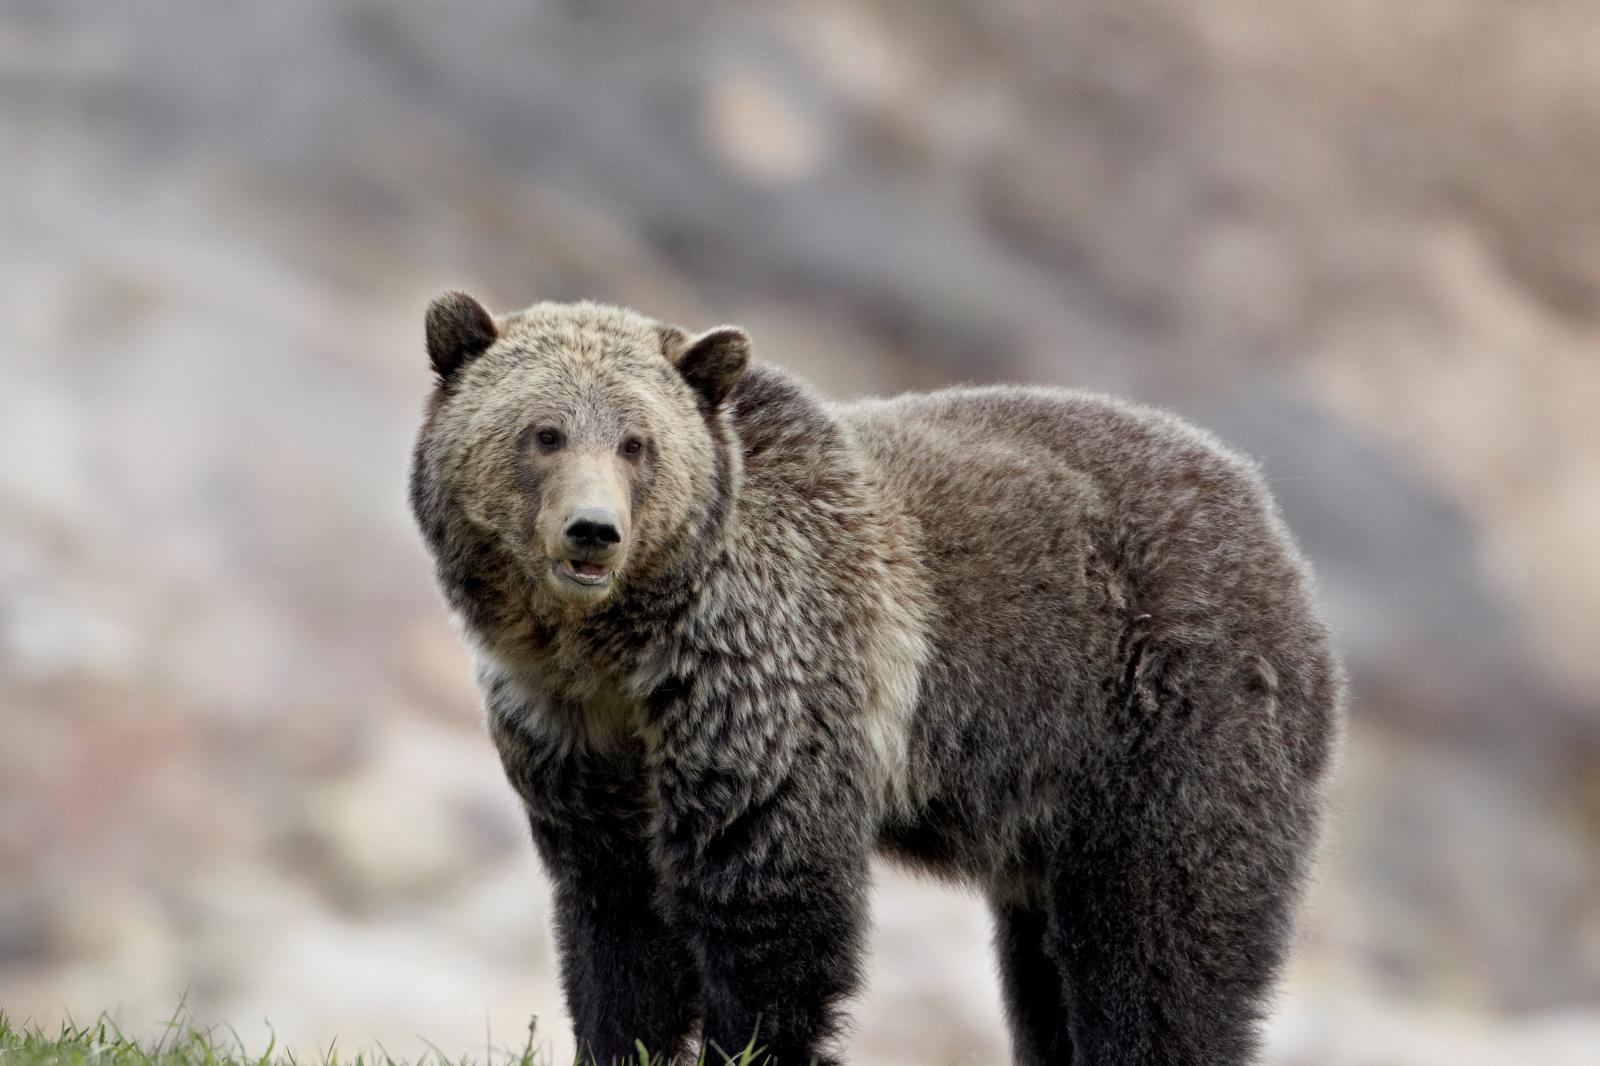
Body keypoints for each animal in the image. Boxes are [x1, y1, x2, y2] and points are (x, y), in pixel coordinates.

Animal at [406, 292, 1344, 1062]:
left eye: (637, 443)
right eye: (543, 432)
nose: (593, 531)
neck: (625, 648)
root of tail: (1270, 521)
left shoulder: (765, 689)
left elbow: (771, 914)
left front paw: (749, 1046)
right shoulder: (577, 735)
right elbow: (616, 921)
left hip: (1167, 724)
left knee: (1159, 945)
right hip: (1047, 813)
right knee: (1043, 973)